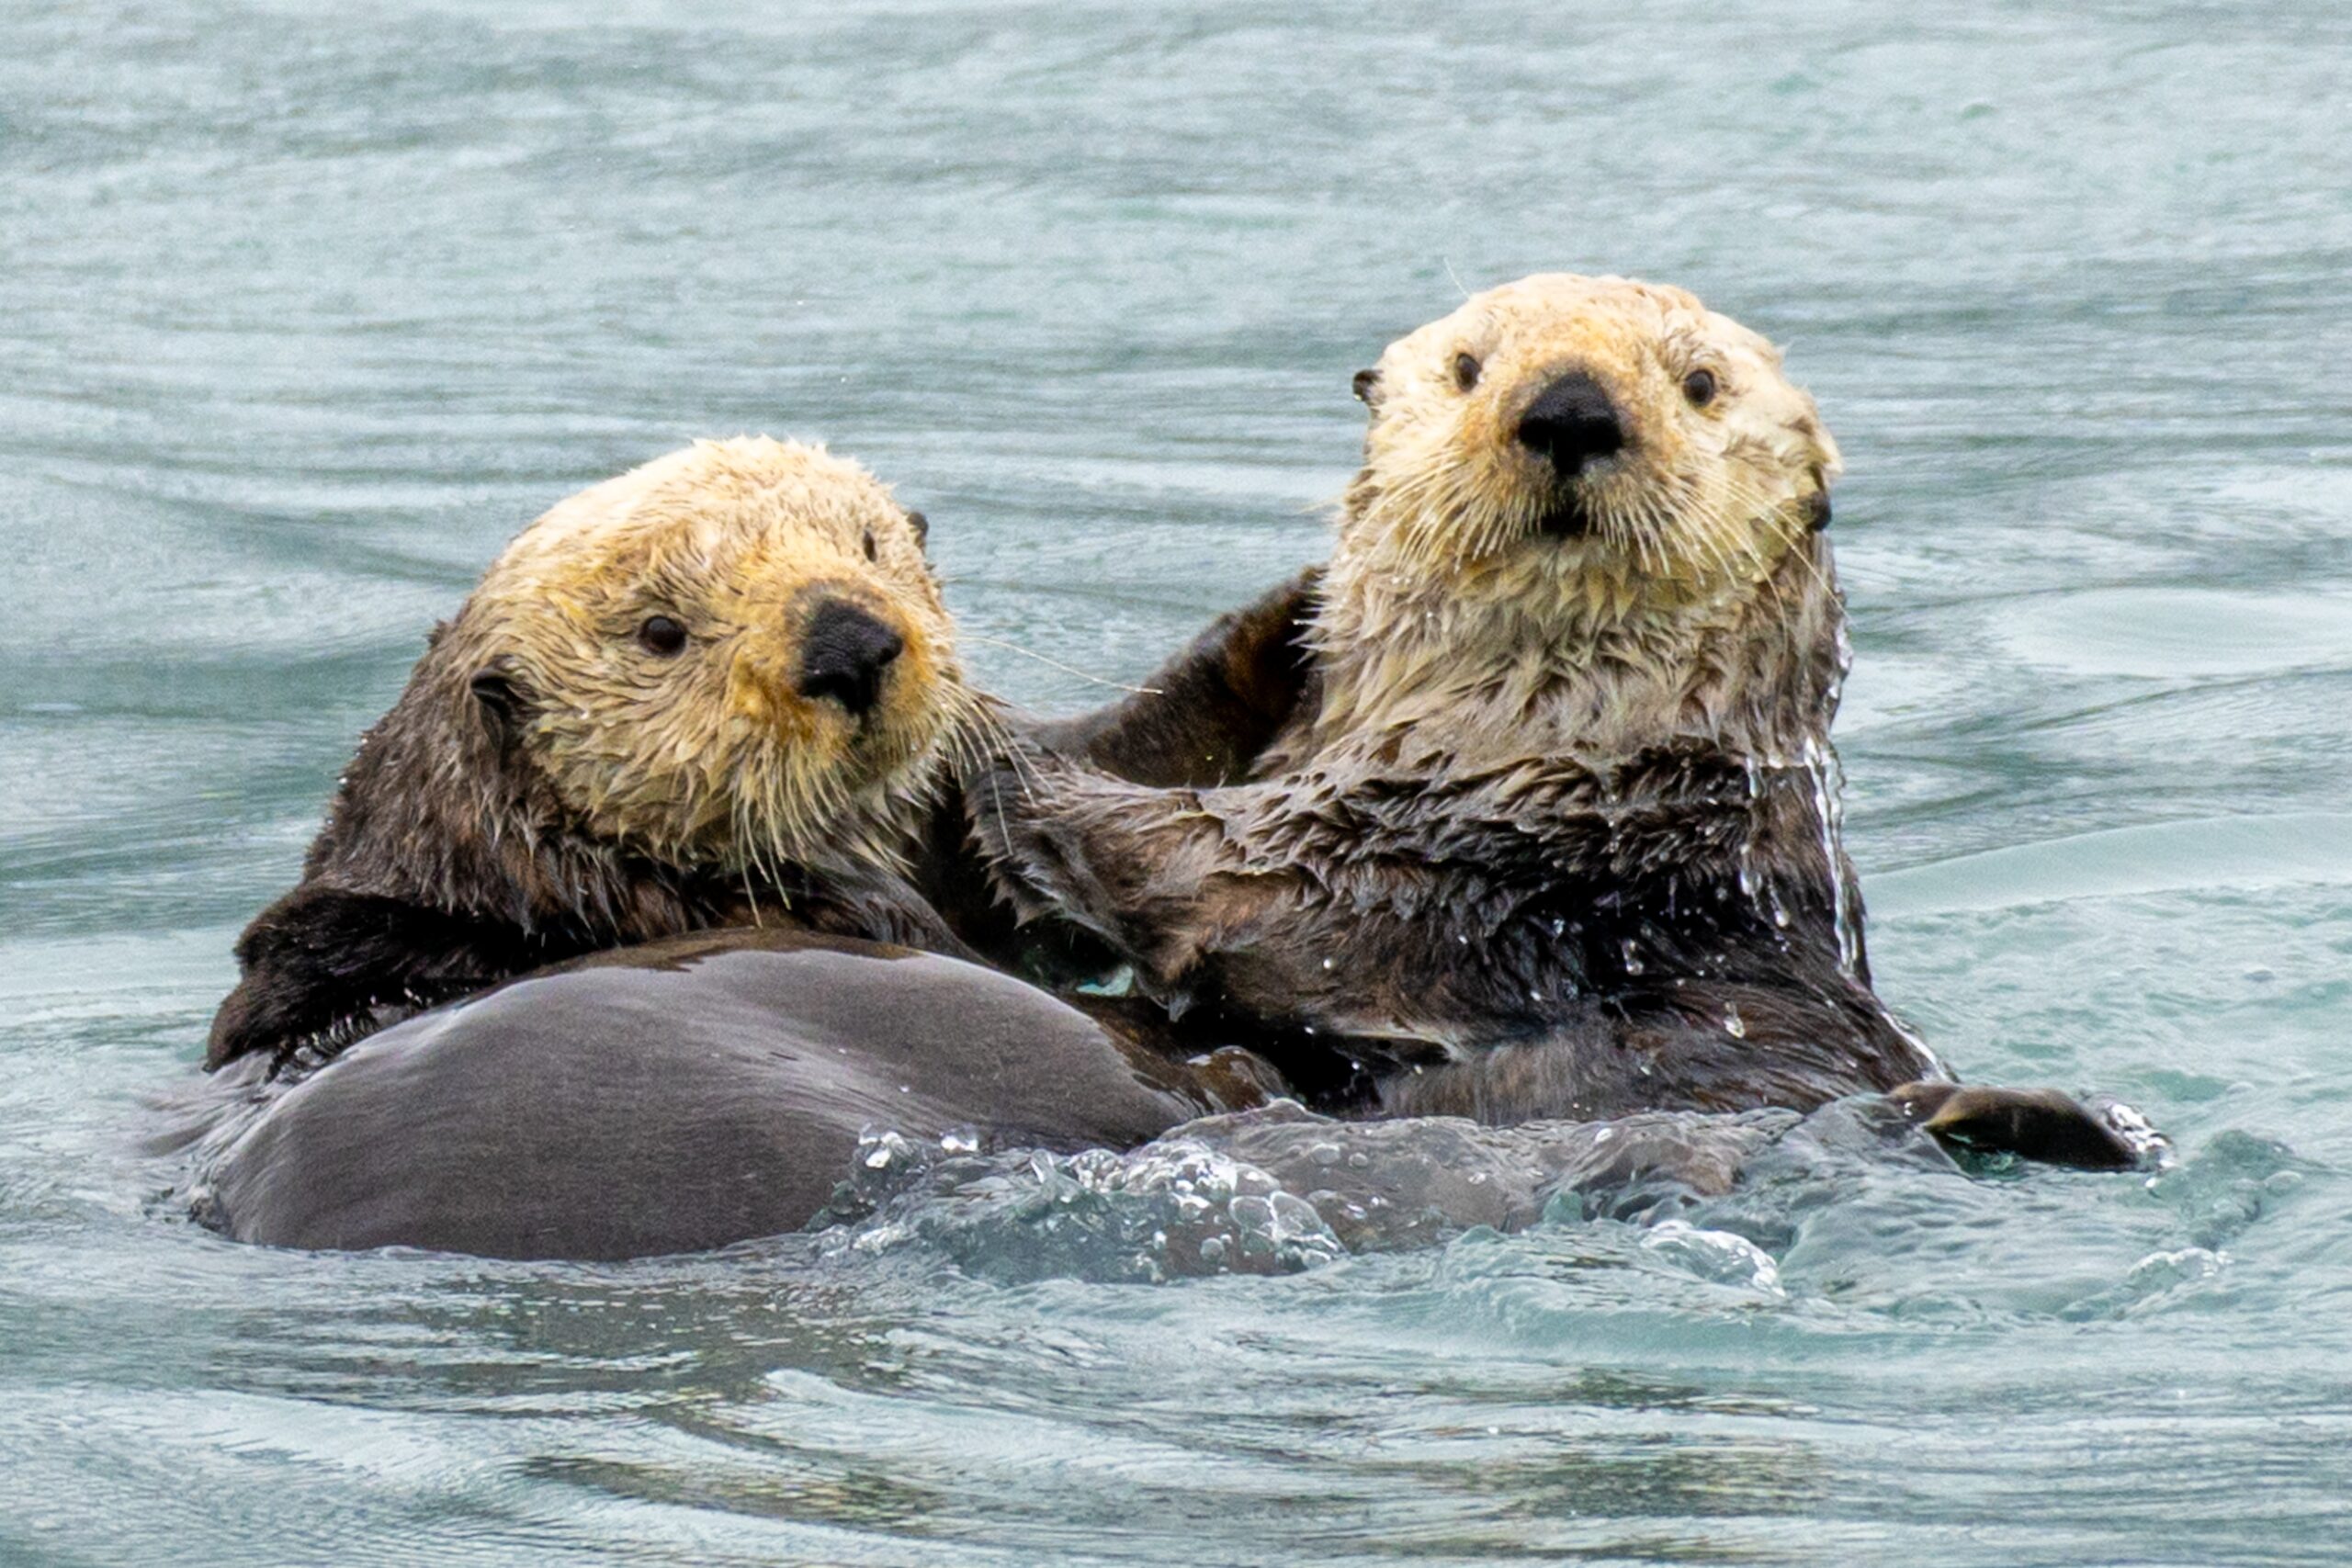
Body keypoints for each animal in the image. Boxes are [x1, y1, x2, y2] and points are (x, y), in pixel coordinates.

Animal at [973, 276, 2154, 1170]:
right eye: (1467, 367)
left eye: (1698, 384)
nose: (1571, 410)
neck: (1534, 733)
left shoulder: (1478, 858)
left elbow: (1239, 881)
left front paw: (1001, 759)